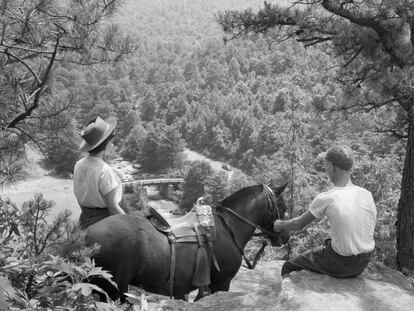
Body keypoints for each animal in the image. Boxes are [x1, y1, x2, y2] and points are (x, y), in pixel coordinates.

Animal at [85, 183, 290, 302]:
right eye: (282, 207)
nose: (285, 237)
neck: (228, 227)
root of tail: (88, 235)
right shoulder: (220, 284)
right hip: (113, 289)